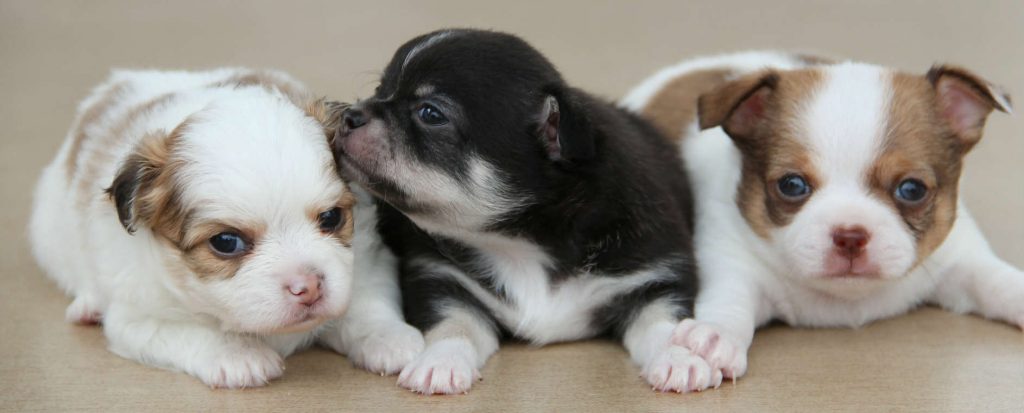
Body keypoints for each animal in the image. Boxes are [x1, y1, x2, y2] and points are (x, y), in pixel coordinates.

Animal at [28, 68, 421, 387]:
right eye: (226, 242)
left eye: (331, 218)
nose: (308, 287)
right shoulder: (139, 318)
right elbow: (194, 331)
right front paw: (237, 353)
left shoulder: (370, 262)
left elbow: (368, 304)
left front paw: (390, 339)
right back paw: (87, 307)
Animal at [331, 28, 716, 395]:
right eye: (379, 90)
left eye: (430, 113)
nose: (349, 115)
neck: (519, 241)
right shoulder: (443, 282)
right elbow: (455, 326)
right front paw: (439, 363)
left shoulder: (655, 279)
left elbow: (665, 323)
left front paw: (679, 358)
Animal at [618, 51, 1019, 385]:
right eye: (792, 185)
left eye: (912, 189)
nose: (850, 234)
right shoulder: (731, 263)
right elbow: (728, 302)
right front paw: (713, 335)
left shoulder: (962, 261)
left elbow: (998, 281)